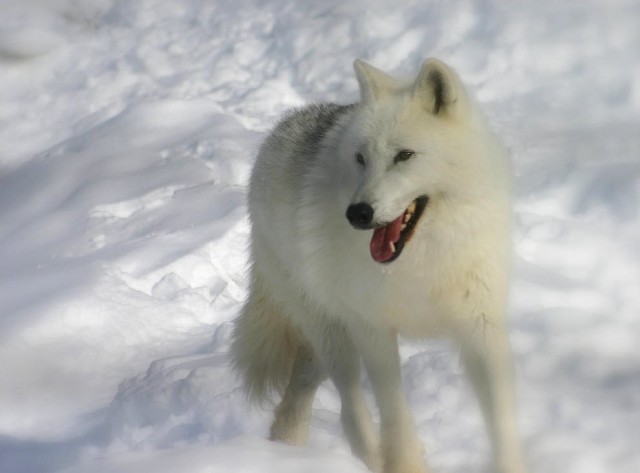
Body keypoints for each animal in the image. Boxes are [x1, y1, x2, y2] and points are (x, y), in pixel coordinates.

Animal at [232, 58, 528, 472]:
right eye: (361, 159)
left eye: (404, 156)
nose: (357, 213)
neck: (423, 262)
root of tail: (283, 128)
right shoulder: (372, 329)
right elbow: (395, 416)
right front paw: (404, 463)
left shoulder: (481, 326)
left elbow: (501, 422)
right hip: (334, 334)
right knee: (350, 408)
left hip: (323, 345)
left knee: (300, 388)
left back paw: (284, 449)